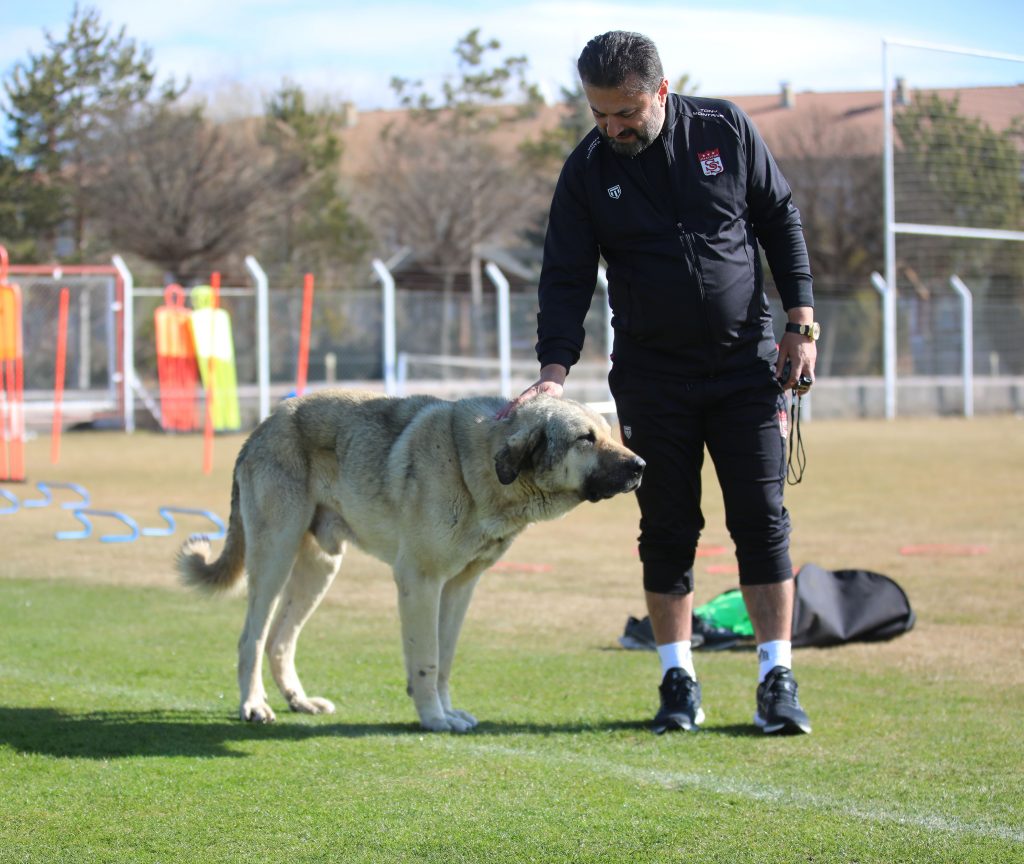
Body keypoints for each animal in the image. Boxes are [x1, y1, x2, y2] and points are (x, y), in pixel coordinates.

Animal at [175, 389, 638, 728]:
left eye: (610, 431)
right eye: (585, 439)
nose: (642, 465)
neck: (476, 467)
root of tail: (261, 427)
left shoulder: (459, 587)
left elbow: (445, 658)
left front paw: (447, 711)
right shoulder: (420, 581)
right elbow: (427, 660)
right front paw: (433, 718)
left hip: (320, 567)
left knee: (280, 641)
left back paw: (299, 700)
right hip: (275, 556)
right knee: (251, 639)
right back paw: (253, 705)